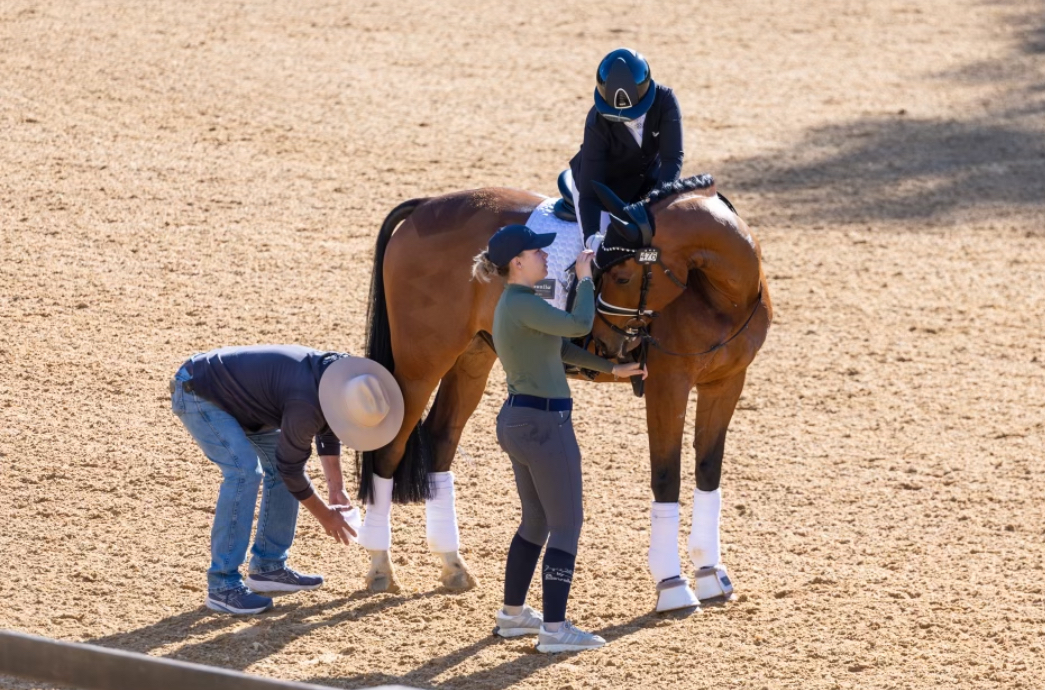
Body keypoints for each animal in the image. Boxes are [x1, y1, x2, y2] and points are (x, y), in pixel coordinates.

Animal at [352, 174, 772, 612]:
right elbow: (666, 476)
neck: (721, 296)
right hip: (421, 365)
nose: (605, 341)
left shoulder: (727, 383)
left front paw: (710, 573)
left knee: (439, 439)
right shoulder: (667, 385)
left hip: (473, 357)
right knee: (390, 448)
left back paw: (452, 565)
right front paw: (672, 584)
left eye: (622, 276)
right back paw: (381, 567)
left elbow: (708, 470)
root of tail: (425, 205)